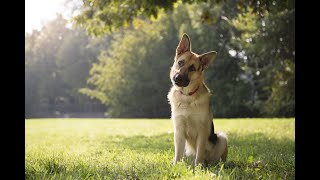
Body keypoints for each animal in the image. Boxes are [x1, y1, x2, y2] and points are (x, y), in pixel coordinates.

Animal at [168, 33, 228, 166]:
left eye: (192, 68)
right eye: (180, 63)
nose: (177, 78)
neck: (187, 97)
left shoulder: (202, 130)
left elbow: (200, 152)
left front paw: (199, 167)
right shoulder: (179, 130)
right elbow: (177, 153)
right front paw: (175, 166)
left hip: (222, 137)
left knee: (216, 159)